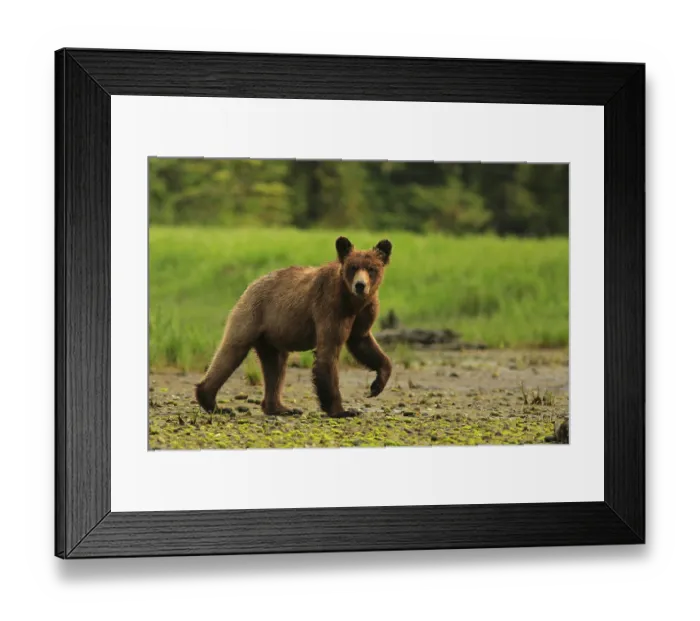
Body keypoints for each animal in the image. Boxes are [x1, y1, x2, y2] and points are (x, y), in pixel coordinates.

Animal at [195, 236, 393, 418]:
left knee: (275, 366)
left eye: (372, 268)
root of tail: (251, 284)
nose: (360, 285)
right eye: (353, 267)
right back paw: (213, 402)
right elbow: (328, 353)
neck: (353, 302)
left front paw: (377, 385)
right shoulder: (330, 307)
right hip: (253, 315)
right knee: (232, 350)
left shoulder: (365, 312)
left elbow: (364, 343)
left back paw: (280, 408)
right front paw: (343, 410)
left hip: (272, 335)